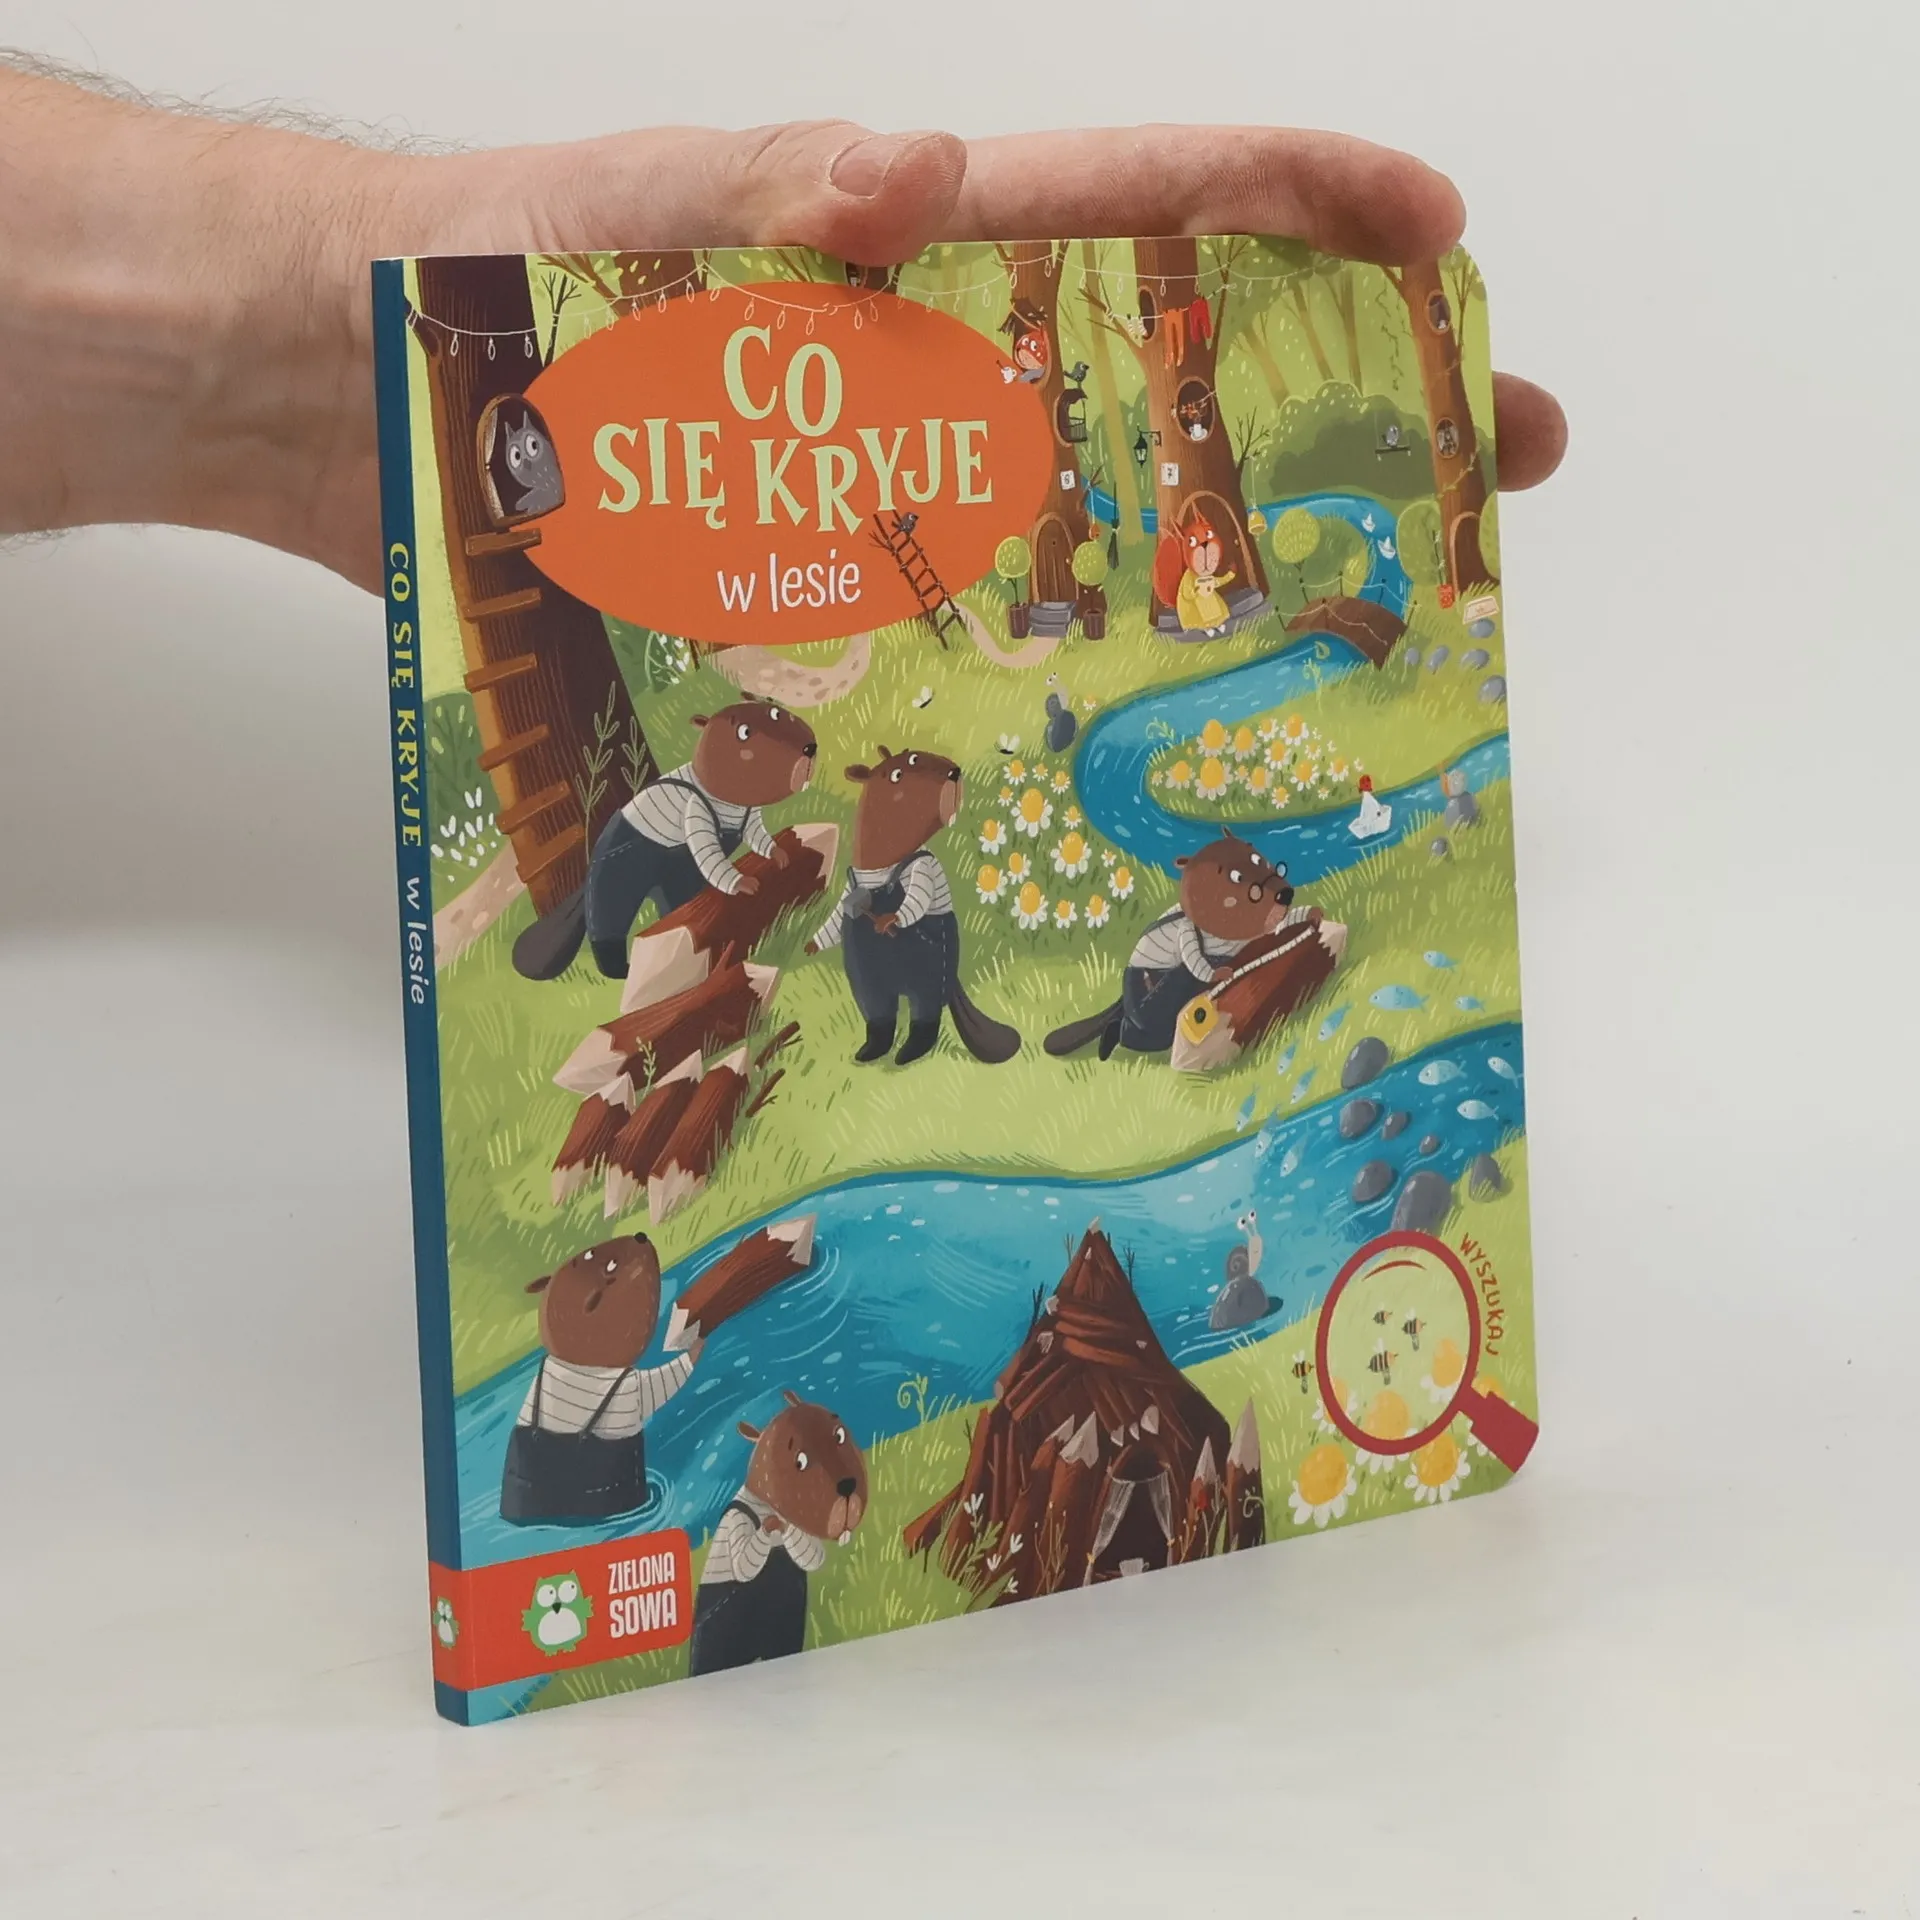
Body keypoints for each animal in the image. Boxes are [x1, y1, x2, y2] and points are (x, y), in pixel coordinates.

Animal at [498, 1233, 704, 1527]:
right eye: (611, 1265)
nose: (641, 1235)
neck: (579, 1361)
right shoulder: (631, 1385)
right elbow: (662, 1385)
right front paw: (695, 1344)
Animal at [512, 697, 819, 981]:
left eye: (776, 713)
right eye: (744, 732)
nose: (809, 749)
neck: (722, 796)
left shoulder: (748, 813)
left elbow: (756, 833)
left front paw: (778, 854)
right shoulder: (695, 811)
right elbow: (709, 855)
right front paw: (744, 883)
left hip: (674, 876)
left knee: (673, 902)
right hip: (617, 869)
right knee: (609, 917)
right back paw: (622, 970)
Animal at [688, 1392, 869, 1675]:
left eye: (839, 1435)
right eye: (800, 1461)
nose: (848, 1486)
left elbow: (812, 1555)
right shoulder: (736, 1521)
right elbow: (742, 1564)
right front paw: (771, 1525)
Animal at [805, 745, 1020, 1066]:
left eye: (916, 756)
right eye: (896, 774)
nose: (954, 773)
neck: (879, 868)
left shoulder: (923, 869)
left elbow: (917, 898)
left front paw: (891, 920)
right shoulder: (851, 905)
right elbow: (834, 920)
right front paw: (813, 944)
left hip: (931, 970)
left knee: (925, 1012)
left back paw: (910, 1051)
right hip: (869, 975)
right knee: (879, 1011)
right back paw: (873, 1049)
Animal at [1045, 833, 1344, 1059]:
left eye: (1263, 861)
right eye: (1236, 877)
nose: (1285, 893)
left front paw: (1311, 915)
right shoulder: (1189, 934)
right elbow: (1195, 959)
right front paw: (1219, 974)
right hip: (1146, 992)